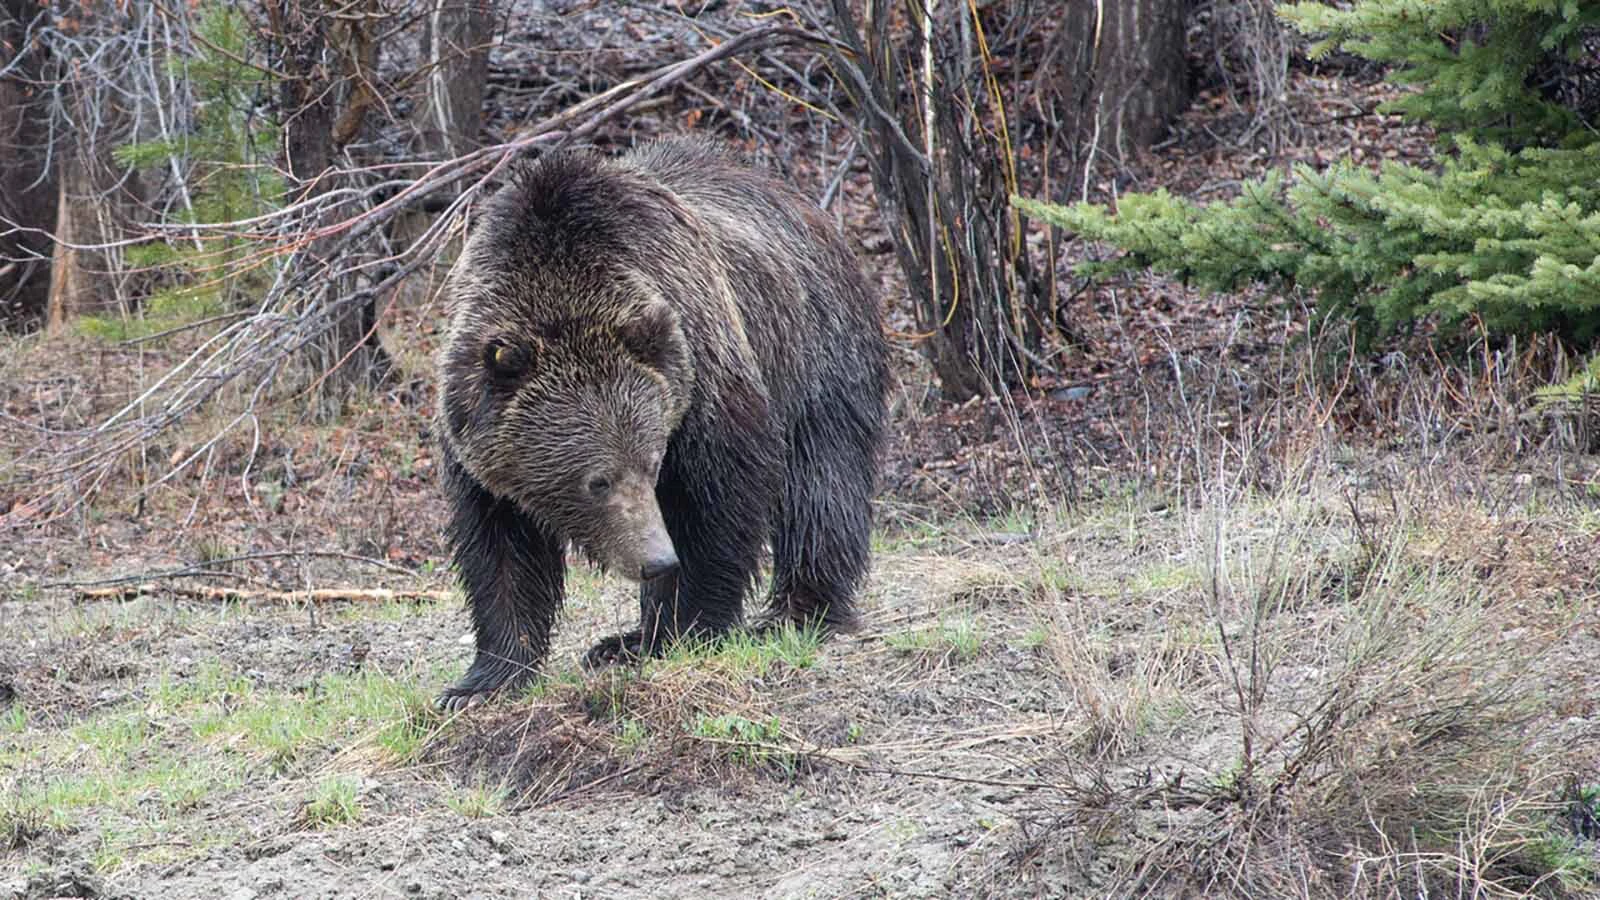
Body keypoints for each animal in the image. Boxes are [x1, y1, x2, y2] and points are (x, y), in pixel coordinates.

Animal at [433, 138, 888, 710]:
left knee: (822, 481)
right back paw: (623, 638)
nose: (656, 560)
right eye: (597, 480)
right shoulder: (479, 438)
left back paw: (797, 609)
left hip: (816, 350)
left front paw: (685, 629)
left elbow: (716, 501)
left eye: (650, 465)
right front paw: (484, 681)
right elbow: (500, 547)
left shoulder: (698, 377)